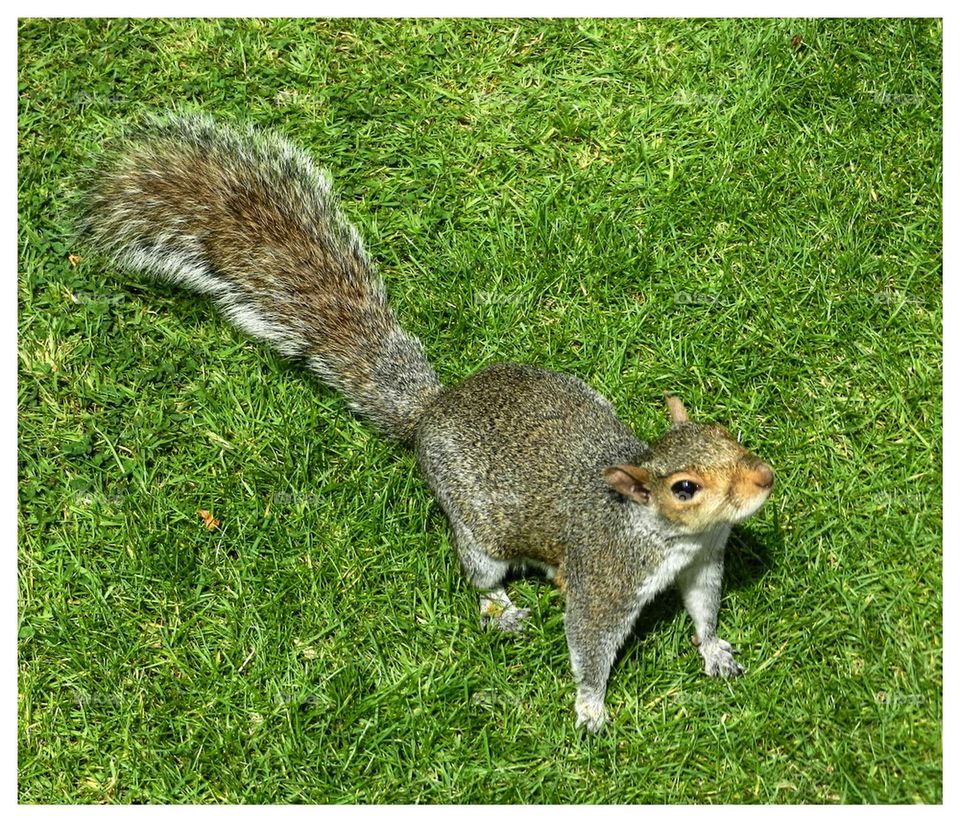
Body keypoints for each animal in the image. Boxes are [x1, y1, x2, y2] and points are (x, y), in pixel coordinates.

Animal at [79, 113, 775, 732]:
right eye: (685, 487)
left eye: (726, 433)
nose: (764, 477)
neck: (662, 534)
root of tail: (431, 410)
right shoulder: (606, 577)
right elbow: (590, 641)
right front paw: (590, 707)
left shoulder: (702, 564)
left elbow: (704, 609)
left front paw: (713, 648)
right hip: (475, 529)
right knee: (480, 573)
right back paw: (501, 609)